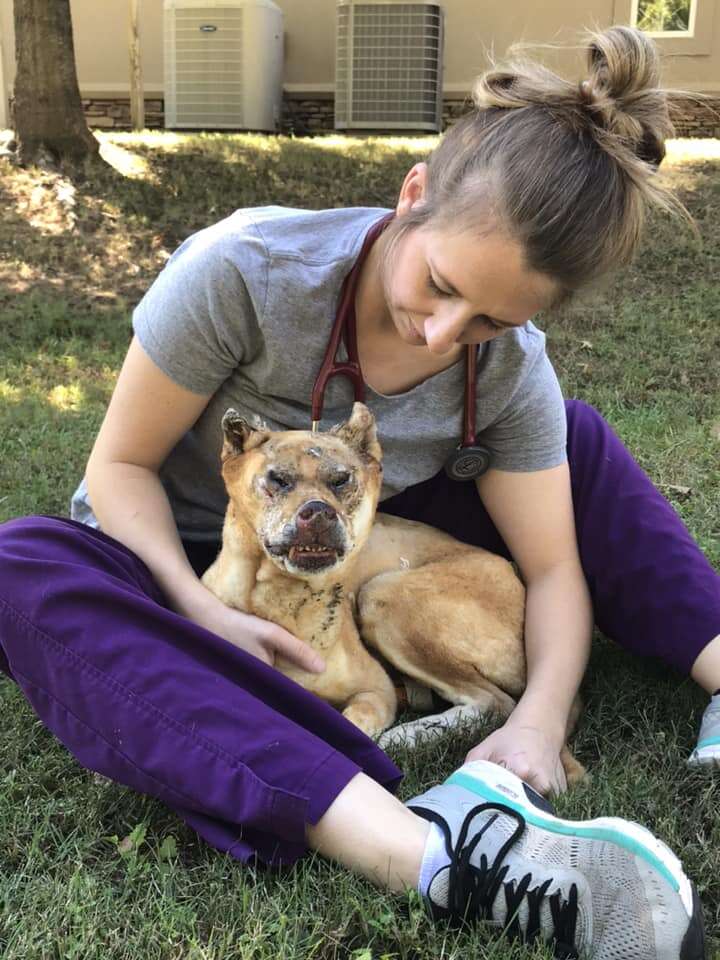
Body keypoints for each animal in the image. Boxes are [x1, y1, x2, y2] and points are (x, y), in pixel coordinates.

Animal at [202, 402, 584, 784]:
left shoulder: (377, 690)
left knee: (495, 702)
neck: (285, 600)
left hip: (384, 595)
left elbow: (351, 726)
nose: (320, 513)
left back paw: (406, 736)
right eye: (278, 480)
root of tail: (514, 576)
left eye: (342, 480)